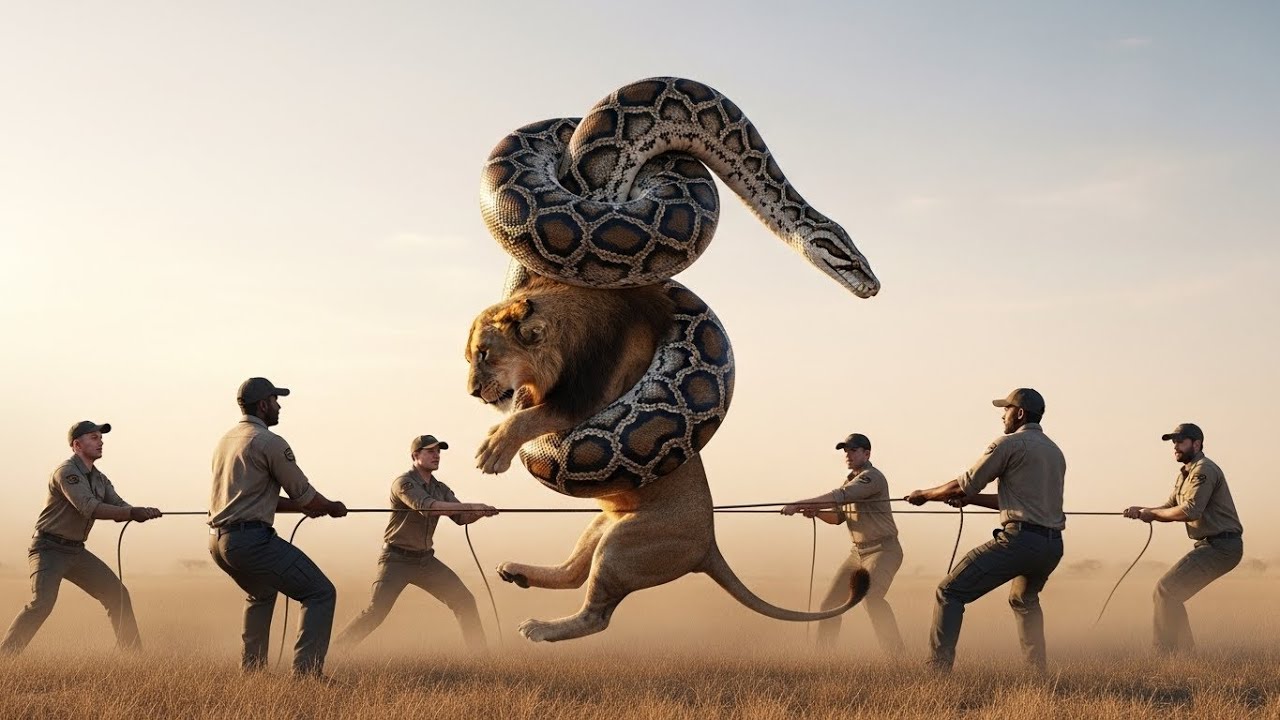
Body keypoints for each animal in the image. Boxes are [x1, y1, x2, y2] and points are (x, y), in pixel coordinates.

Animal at [466, 273, 870, 642]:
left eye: (484, 353)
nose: (472, 392)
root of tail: (708, 546)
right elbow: (526, 408)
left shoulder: (586, 400)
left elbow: (532, 417)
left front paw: (493, 450)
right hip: (604, 525)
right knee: (572, 573)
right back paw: (517, 572)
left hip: (621, 547)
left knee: (597, 616)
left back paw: (542, 629)